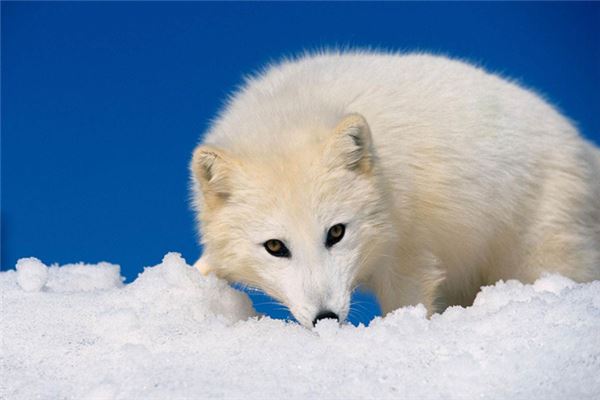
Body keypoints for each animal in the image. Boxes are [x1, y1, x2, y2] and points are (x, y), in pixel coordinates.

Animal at [191, 50, 600, 328]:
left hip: (540, 257)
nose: (326, 318)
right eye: (275, 247)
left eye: (336, 232)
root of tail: (581, 144)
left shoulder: (409, 255)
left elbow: (409, 304)